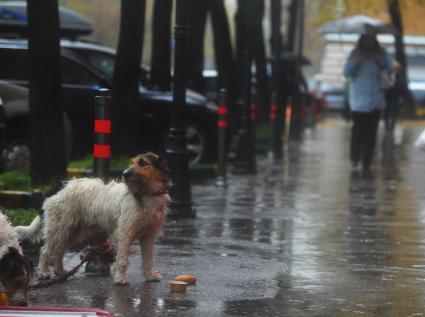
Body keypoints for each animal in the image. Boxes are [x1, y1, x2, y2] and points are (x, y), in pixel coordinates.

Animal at [14, 152, 171, 284]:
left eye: (143, 163)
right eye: (131, 163)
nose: (125, 174)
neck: (146, 194)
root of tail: (60, 188)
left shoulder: (148, 236)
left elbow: (148, 259)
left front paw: (149, 276)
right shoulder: (124, 234)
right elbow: (122, 259)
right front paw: (120, 279)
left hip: (72, 231)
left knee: (59, 251)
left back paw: (60, 272)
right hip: (59, 228)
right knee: (45, 251)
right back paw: (44, 273)